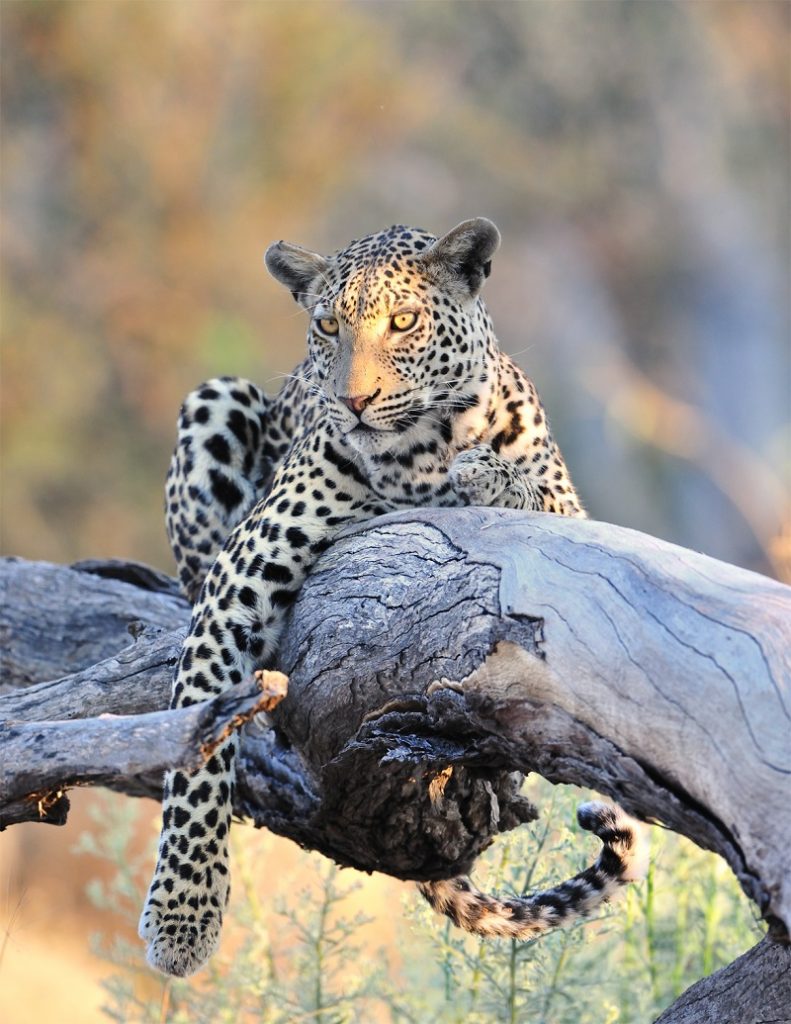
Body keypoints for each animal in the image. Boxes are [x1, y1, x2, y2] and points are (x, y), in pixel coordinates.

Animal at [139, 218, 647, 974]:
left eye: (402, 322)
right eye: (327, 325)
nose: (352, 402)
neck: (423, 452)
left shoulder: (572, 516)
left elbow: (531, 492)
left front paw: (486, 474)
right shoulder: (236, 585)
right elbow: (197, 759)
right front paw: (183, 920)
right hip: (216, 399)